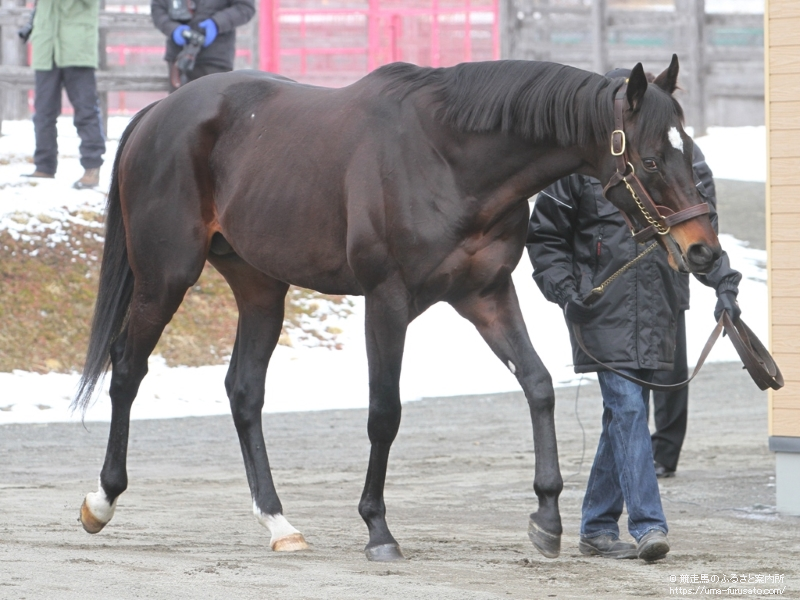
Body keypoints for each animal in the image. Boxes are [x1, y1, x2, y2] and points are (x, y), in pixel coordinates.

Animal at [75, 54, 720, 560]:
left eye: (690, 151)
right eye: (653, 161)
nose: (703, 251)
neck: (448, 158)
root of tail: (160, 112)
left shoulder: (485, 295)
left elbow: (538, 386)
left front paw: (546, 518)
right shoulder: (385, 300)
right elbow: (384, 412)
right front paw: (378, 529)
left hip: (260, 287)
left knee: (244, 391)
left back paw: (280, 524)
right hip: (165, 278)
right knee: (126, 371)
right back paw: (101, 501)